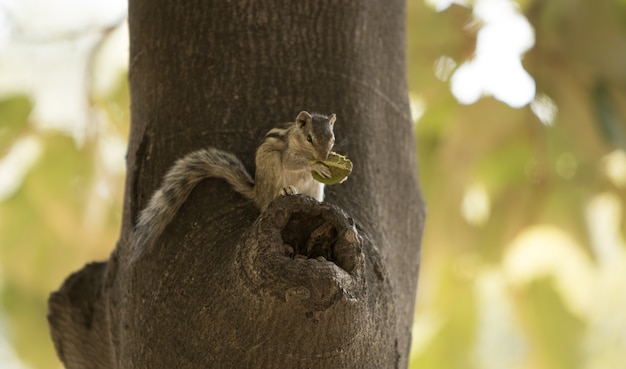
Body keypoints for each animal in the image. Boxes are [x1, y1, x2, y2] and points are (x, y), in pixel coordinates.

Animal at [133, 109, 336, 247]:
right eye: (309, 138)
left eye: (332, 138)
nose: (324, 157)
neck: (298, 139)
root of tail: (257, 192)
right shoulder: (287, 151)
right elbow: (292, 162)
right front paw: (316, 165)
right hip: (269, 162)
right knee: (268, 201)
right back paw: (284, 190)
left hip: (316, 187)